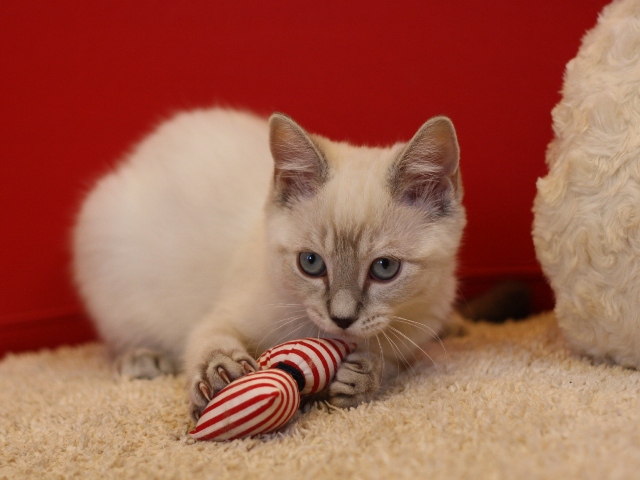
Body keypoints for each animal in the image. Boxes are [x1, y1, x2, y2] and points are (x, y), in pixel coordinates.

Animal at [74, 107, 464, 418]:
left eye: (384, 269)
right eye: (311, 263)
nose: (341, 318)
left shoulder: (414, 335)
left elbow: (392, 362)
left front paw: (365, 375)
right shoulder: (226, 314)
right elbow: (208, 337)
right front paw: (221, 370)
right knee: (119, 337)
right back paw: (142, 359)